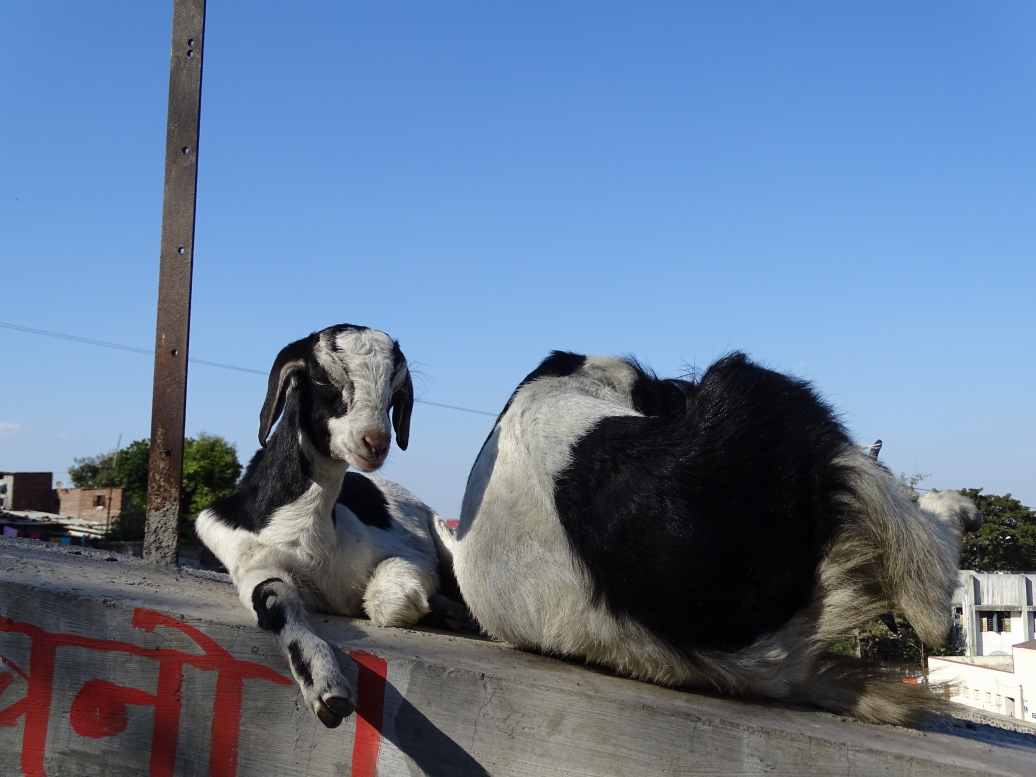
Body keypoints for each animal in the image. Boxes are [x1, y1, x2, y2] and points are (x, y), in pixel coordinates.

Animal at [196, 324, 458, 728]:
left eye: (396, 388)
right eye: (321, 376)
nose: (375, 442)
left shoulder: (413, 559)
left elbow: (391, 600)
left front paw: (427, 607)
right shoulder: (250, 562)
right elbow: (274, 598)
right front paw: (325, 685)